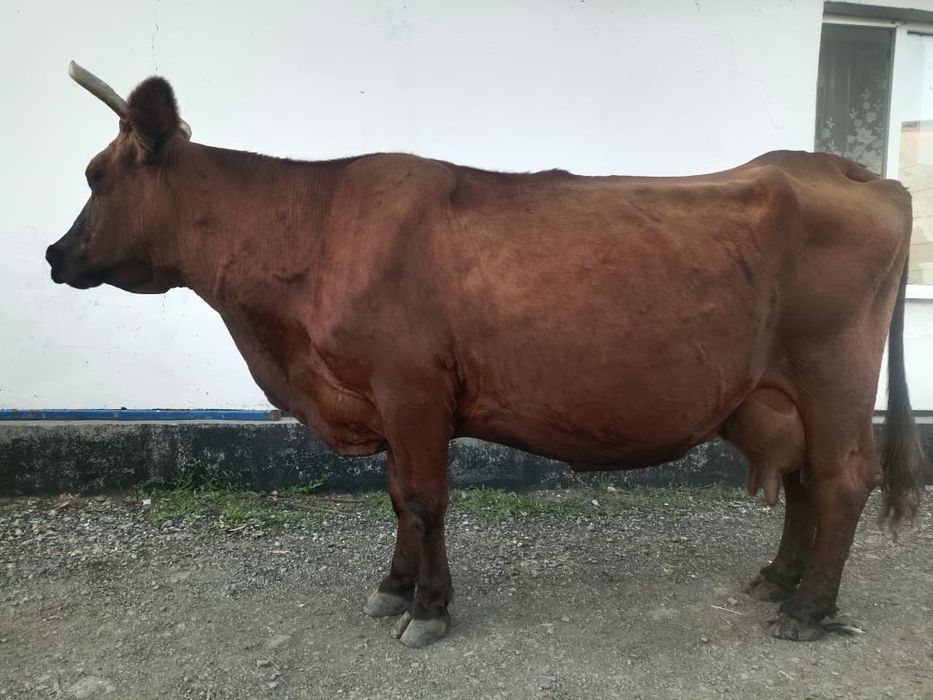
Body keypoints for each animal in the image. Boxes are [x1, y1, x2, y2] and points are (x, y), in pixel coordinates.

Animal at [47, 62, 926, 648]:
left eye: (95, 174)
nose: (55, 255)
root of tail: (844, 168)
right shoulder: (384, 400)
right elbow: (396, 497)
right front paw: (393, 587)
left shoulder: (411, 389)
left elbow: (424, 500)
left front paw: (428, 610)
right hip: (776, 389)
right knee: (804, 475)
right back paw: (779, 580)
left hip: (833, 371)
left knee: (842, 476)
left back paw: (807, 610)